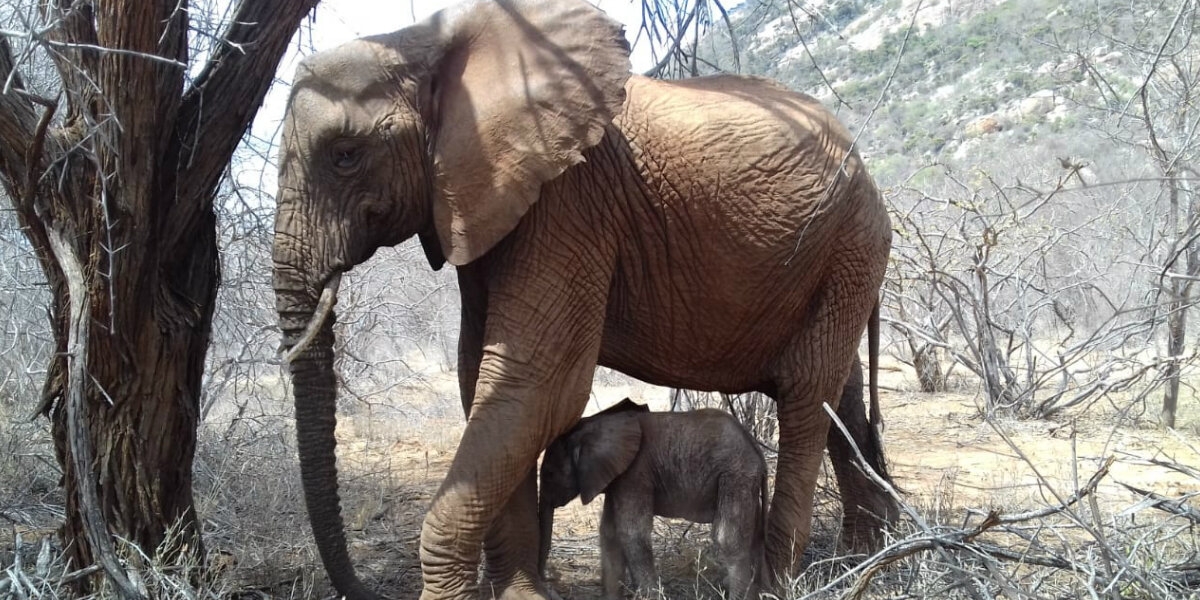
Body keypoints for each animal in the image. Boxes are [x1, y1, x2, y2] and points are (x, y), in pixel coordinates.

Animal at [537, 398, 769, 600]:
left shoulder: (634, 473)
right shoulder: (618, 479)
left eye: (549, 474)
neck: (593, 425)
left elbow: (631, 534)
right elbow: (610, 534)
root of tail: (757, 451)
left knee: (728, 539)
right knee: (755, 536)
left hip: (736, 474)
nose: (547, 581)